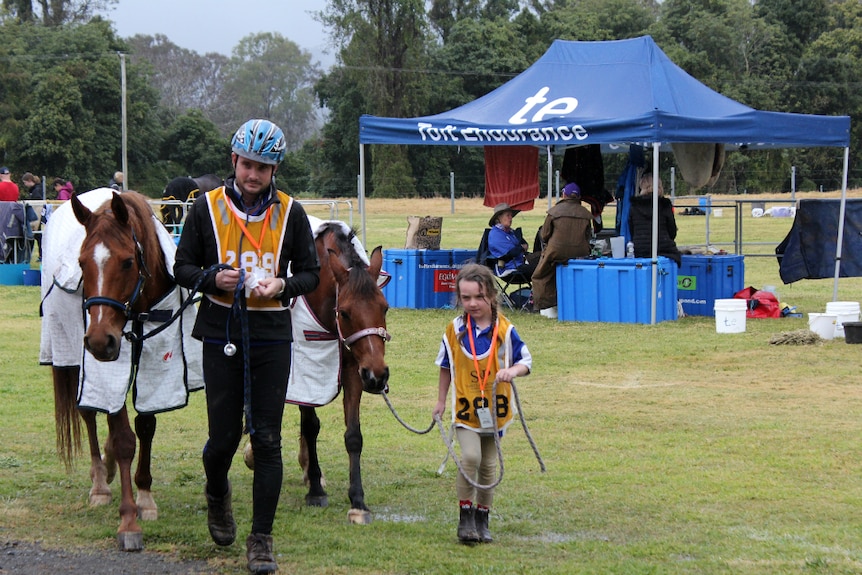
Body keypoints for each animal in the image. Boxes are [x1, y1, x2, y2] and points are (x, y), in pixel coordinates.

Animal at [41, 190, 199, 552]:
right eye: (82, 263)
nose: (100, 340)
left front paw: (145, 496)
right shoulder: (110, 366)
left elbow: (145, 427)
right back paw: (100, 482)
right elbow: (124, 437)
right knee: (87, 413)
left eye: (128, 262)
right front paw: (128, 521)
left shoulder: (155, 361)